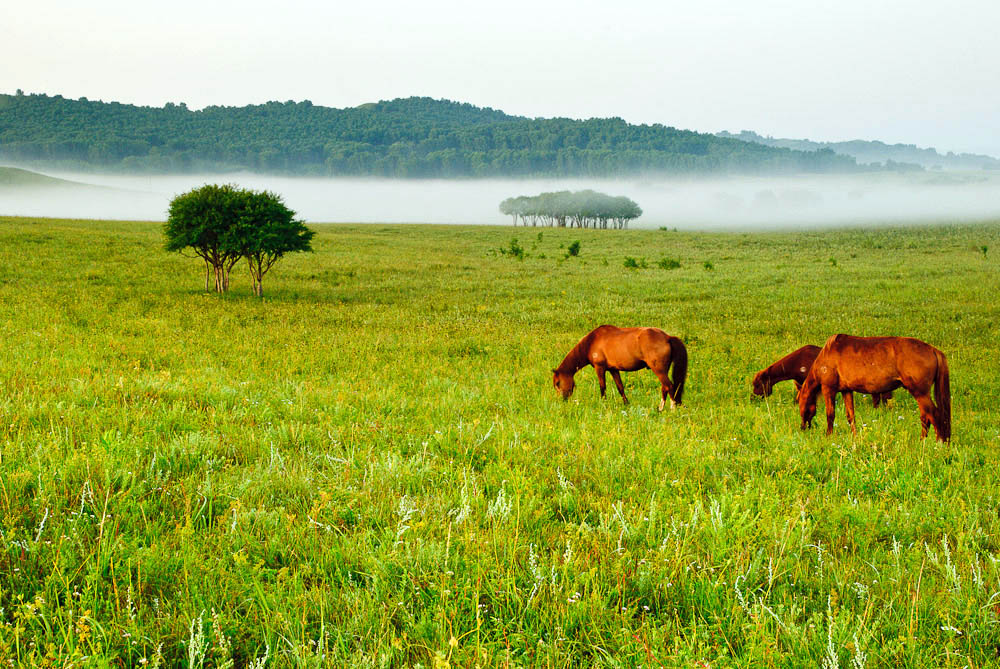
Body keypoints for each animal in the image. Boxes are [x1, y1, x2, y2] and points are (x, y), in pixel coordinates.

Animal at [556, 322, 688, 410]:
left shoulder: (600, 368)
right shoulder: (613, 370)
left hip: (659, 370)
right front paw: (626, 404)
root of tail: (667, 337)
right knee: (664, 388)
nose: (563, 400)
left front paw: (603, 403)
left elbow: (602, 387)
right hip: (662, 370)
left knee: (669, 386)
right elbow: (620, 387)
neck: (592, 342)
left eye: (557, 383)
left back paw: (672, 409)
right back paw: (660, 409)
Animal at [796, 332, 952, 438]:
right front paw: (855, 436)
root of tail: (933, 350)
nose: (802, 428)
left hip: (920, 393)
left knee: (934, 416)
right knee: (926, 418)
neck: (826, 355)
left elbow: (830, 415)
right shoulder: (846, 390)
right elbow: (850, 416)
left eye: (800, 404)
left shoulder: (828, 389)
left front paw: (828, 436)